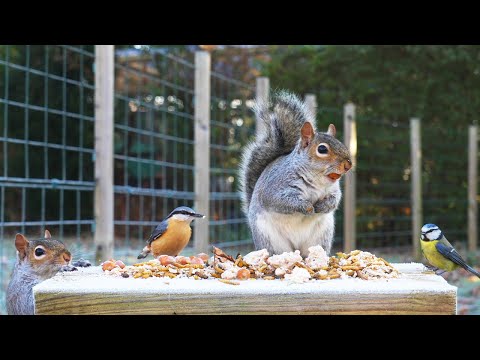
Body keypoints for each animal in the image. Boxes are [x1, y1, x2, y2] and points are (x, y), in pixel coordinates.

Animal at [240, 91, 352, 258]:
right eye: (322, 149)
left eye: (340, 143)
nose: (348, 164)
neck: (317, 180)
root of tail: (296, 249)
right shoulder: (276, 186)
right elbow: (279, 200)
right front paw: (307, 207)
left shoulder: (333, 190)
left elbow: (335, 200)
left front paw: (322, 206)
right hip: (270, 239)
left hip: (321, 237)